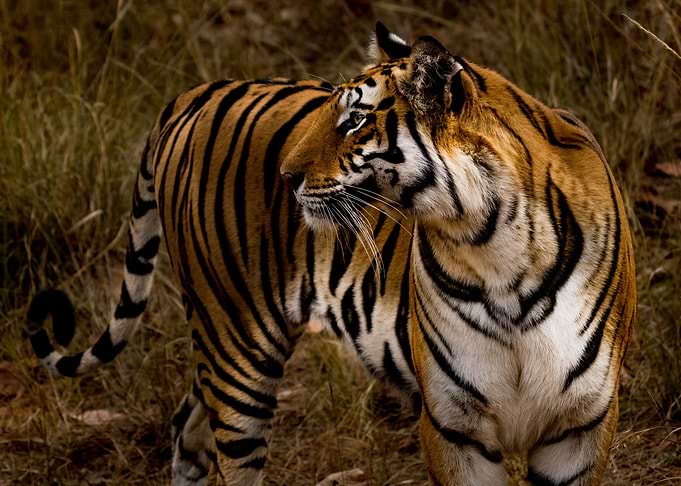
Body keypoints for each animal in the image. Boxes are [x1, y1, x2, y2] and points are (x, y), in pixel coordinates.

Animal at [25, 21, 636, 486]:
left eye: (356, 119)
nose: (285, 176)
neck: (496, 248)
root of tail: (201, 91)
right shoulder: (452, 426)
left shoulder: (582, 426)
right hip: (237, 343)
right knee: (224, 451)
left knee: (187, 430)